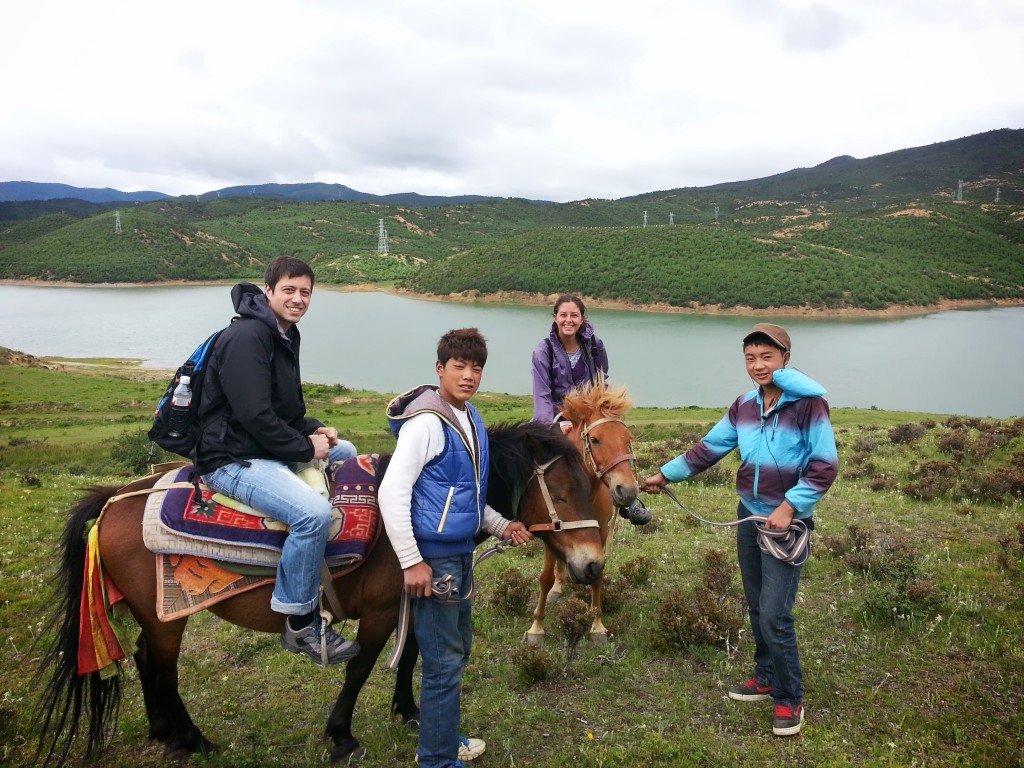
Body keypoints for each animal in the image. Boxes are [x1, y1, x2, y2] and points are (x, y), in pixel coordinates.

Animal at [36, 423, 602, 765]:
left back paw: (164, 733)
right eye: (564, 493)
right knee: (162, 669)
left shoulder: (415, 597)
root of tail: (113, 501)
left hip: (154, 614)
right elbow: (361, 668)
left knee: (144, 660)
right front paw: (343, 735)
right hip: (167, 617)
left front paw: (408, 711)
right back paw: (194, 740)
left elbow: (411, 655)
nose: (593, 565)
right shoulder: (380, 610)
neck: (412, 511)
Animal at [528, 382, 638, 647]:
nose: (627, 490)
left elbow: (597, 576)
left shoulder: (601, 531)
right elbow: (545, 578)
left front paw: (597, 626)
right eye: (595, 440)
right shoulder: (550, 531)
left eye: (627, 439)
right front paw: (537, 627)